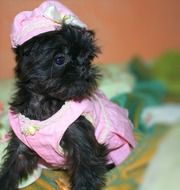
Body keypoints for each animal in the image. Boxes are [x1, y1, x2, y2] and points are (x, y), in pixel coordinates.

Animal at [0, 0, 135, 189]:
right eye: (59, 59)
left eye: (88, 58)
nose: (83, 68)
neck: (45, 102)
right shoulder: (20, 147)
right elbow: (11, 169)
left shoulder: (82, 145)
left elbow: (85, 175)